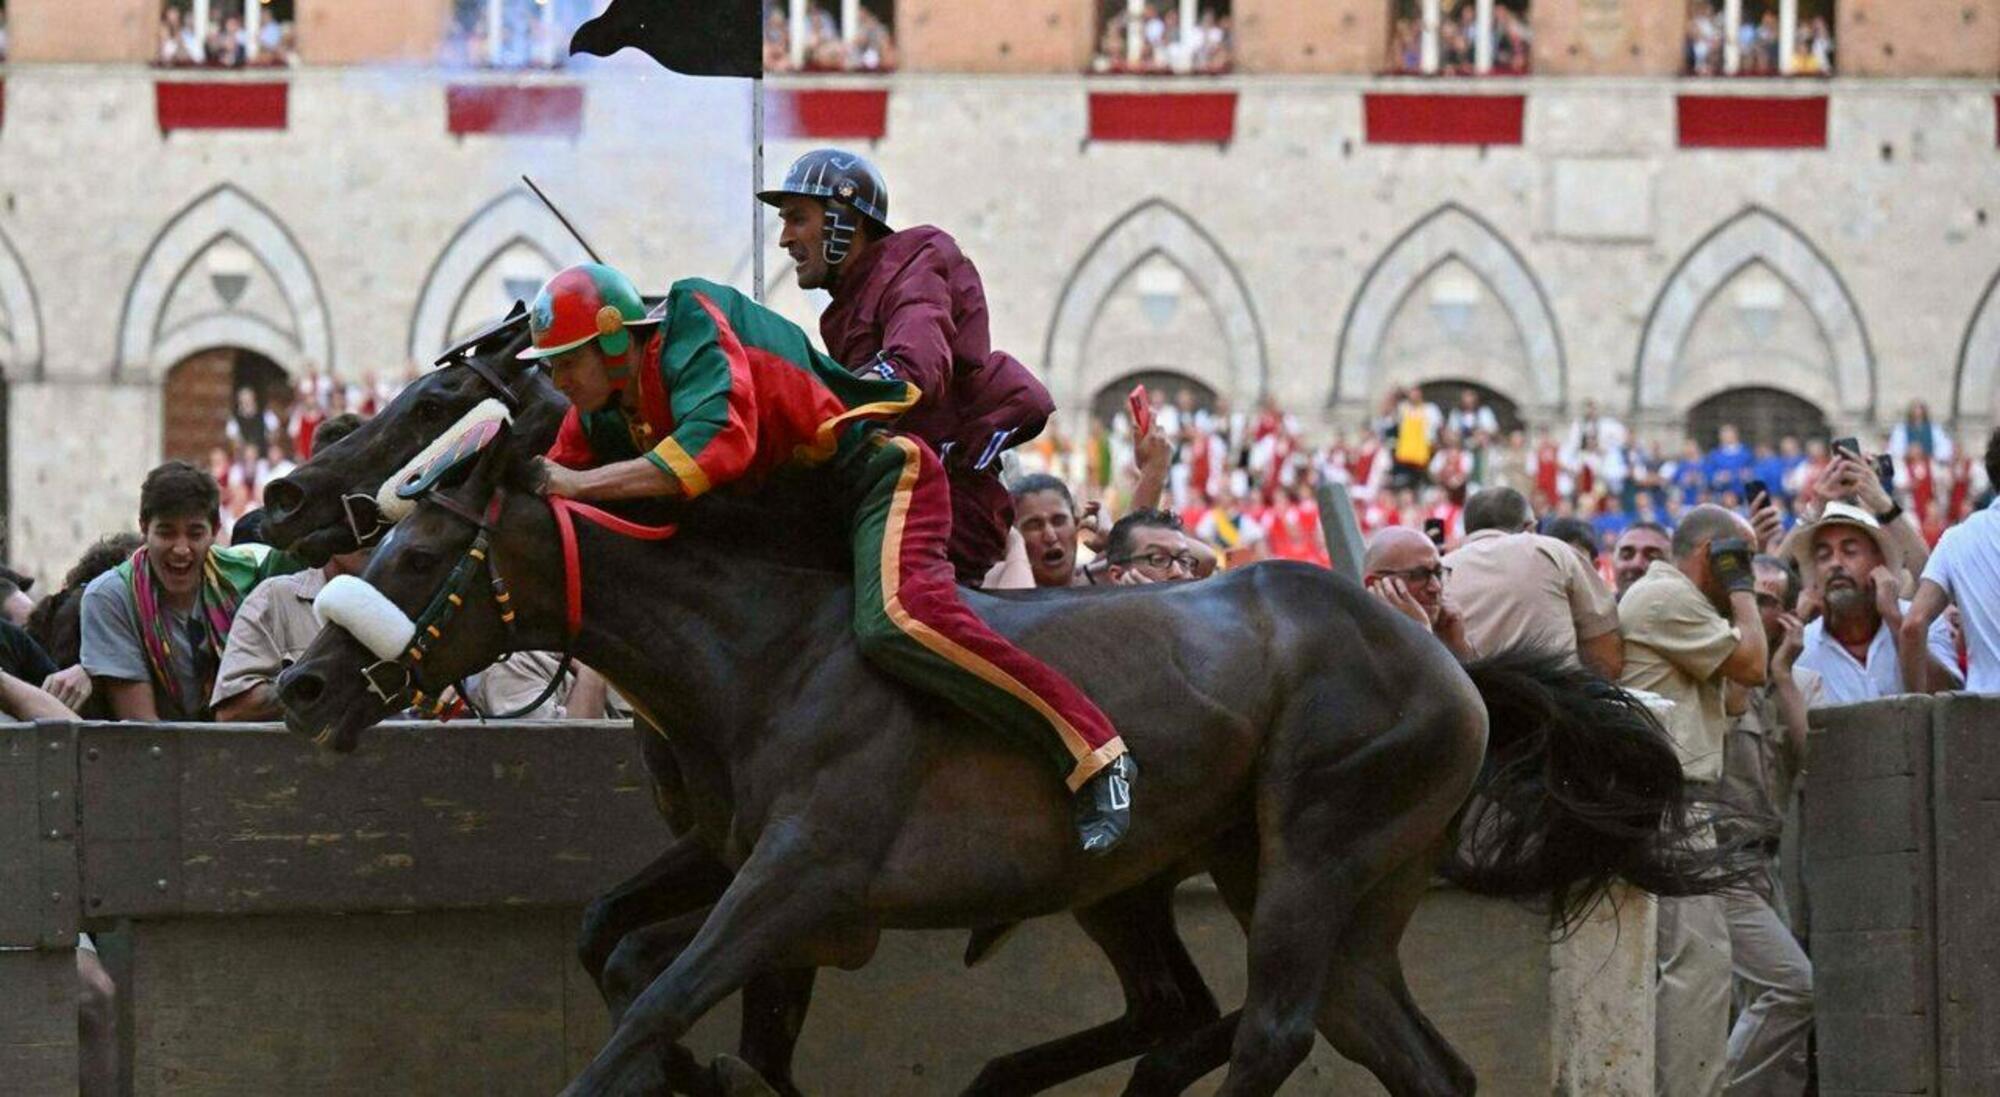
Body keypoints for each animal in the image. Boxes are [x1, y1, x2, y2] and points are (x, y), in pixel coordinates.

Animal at [278, 430, 1720, 1097]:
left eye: (419, 551)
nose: (301, 685)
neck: (764, 650)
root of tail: (1447, 663)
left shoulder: (806, 879)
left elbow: (650, 997)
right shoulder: (764, 873)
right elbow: (628, 957)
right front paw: (731, 1071)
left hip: (1317, 842)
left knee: (1269, 1025)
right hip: (1298, 879)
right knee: (1391, 1047)